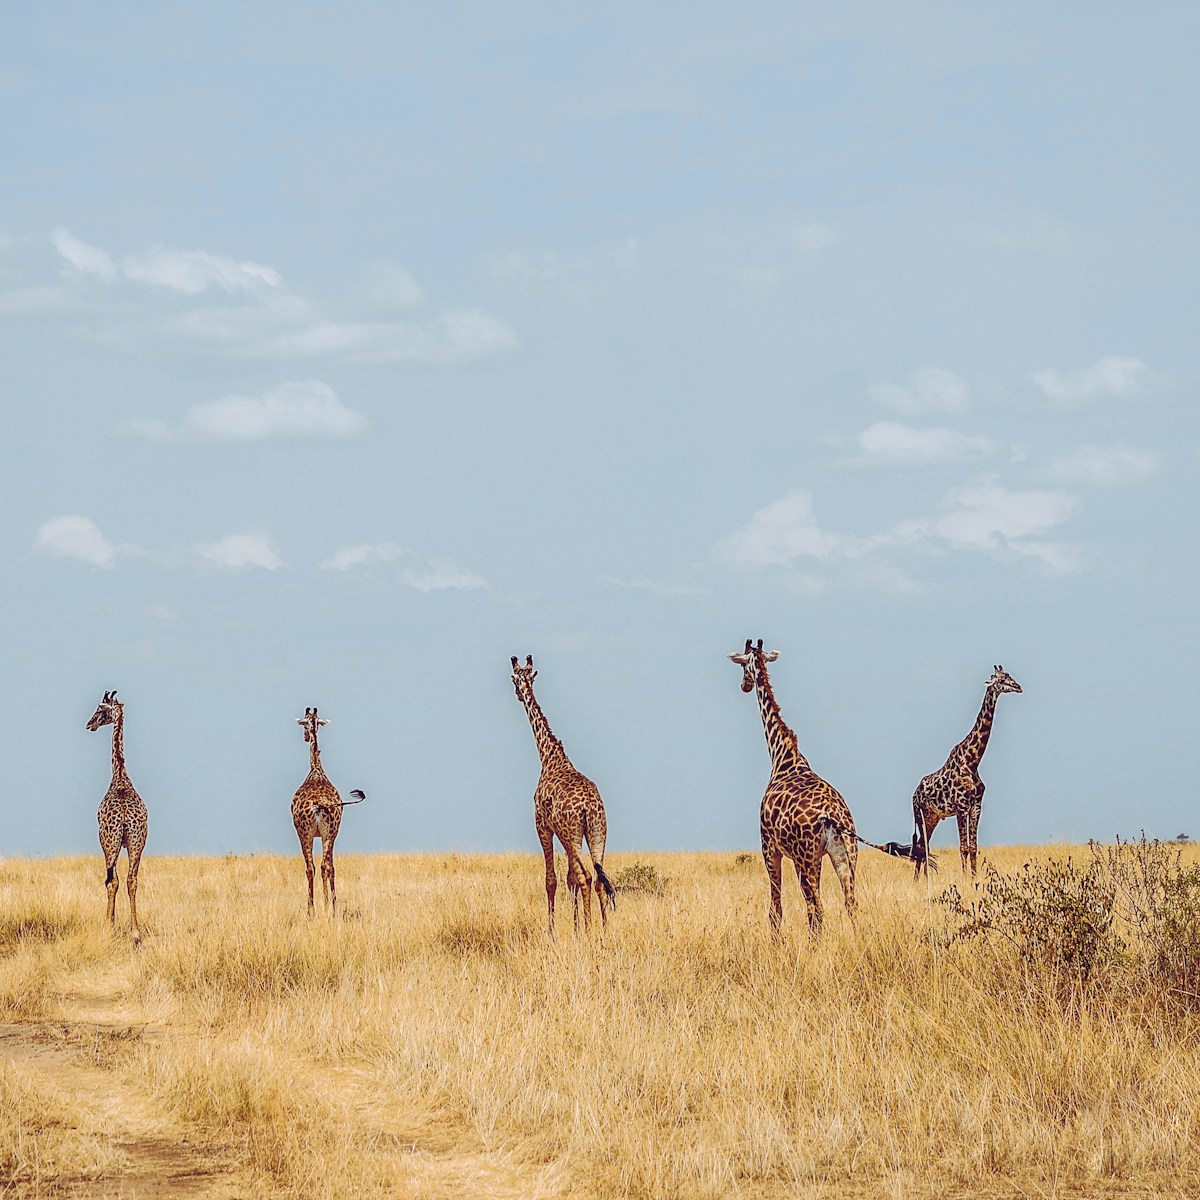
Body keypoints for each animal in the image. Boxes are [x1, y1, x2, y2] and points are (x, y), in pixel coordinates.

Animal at [291, 707, 364, 914]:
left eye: (304, 723)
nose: (305, 737)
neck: (316, 769)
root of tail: (318, 805)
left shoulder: (314, 834)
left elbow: (320, 867)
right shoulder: (330, 834)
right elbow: (330, 867)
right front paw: (330, 905)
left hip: (306, 833)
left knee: (312, 867)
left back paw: (313, 910)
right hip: (327, 832)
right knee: (324, 866)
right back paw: (327, 908)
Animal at [510, 655, 615, 936]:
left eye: (514, 679)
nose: (519, 695)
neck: (548, 756)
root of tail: (588, 807)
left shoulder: (542, 825)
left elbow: (552, 880)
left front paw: (554, 932)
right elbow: (569, 879)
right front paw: (576, 930)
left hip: (572, 833)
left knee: (586, 876)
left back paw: (591, 931)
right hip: (598, 831)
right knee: (599, 877)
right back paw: (604, 930)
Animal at [728, 639, 858, 934]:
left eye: (742, 666)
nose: (744, 685)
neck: (782, 755)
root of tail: (832, 816)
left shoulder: (769, 847)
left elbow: (775, 910)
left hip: (804, 857)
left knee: (816, 909)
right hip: (845, 854)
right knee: (851, 904)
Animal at [911, 665, 1023, 878]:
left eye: (1010, 676)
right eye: (1001, 680)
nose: (1018, 687)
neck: (972, 762)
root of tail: (914, 794)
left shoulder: (976, 807)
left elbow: (973, 847)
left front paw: (974, 877)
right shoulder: (961, 807)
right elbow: (963, 847)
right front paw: (965, 878)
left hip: (933, 817)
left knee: (923, 846)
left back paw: (920, 880)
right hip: (920, 815)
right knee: (921, 847)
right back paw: (920, 880)